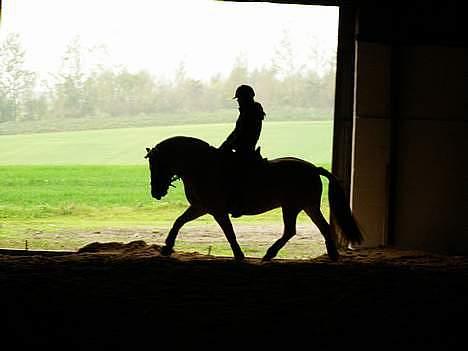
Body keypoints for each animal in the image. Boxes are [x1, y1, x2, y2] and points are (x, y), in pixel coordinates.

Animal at [144, 137, 364, 262]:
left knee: (292, 230)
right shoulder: (200, 207)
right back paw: (331, 256)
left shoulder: (216, 210)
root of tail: (313, 168)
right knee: (318, 228)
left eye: (157, 164)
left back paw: (270, 254)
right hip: (305, 206)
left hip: (293, 206)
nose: (156, 192)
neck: (202, 167)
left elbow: (229, 233)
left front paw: (239, 255)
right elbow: (178, 222)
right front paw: (166, 248)